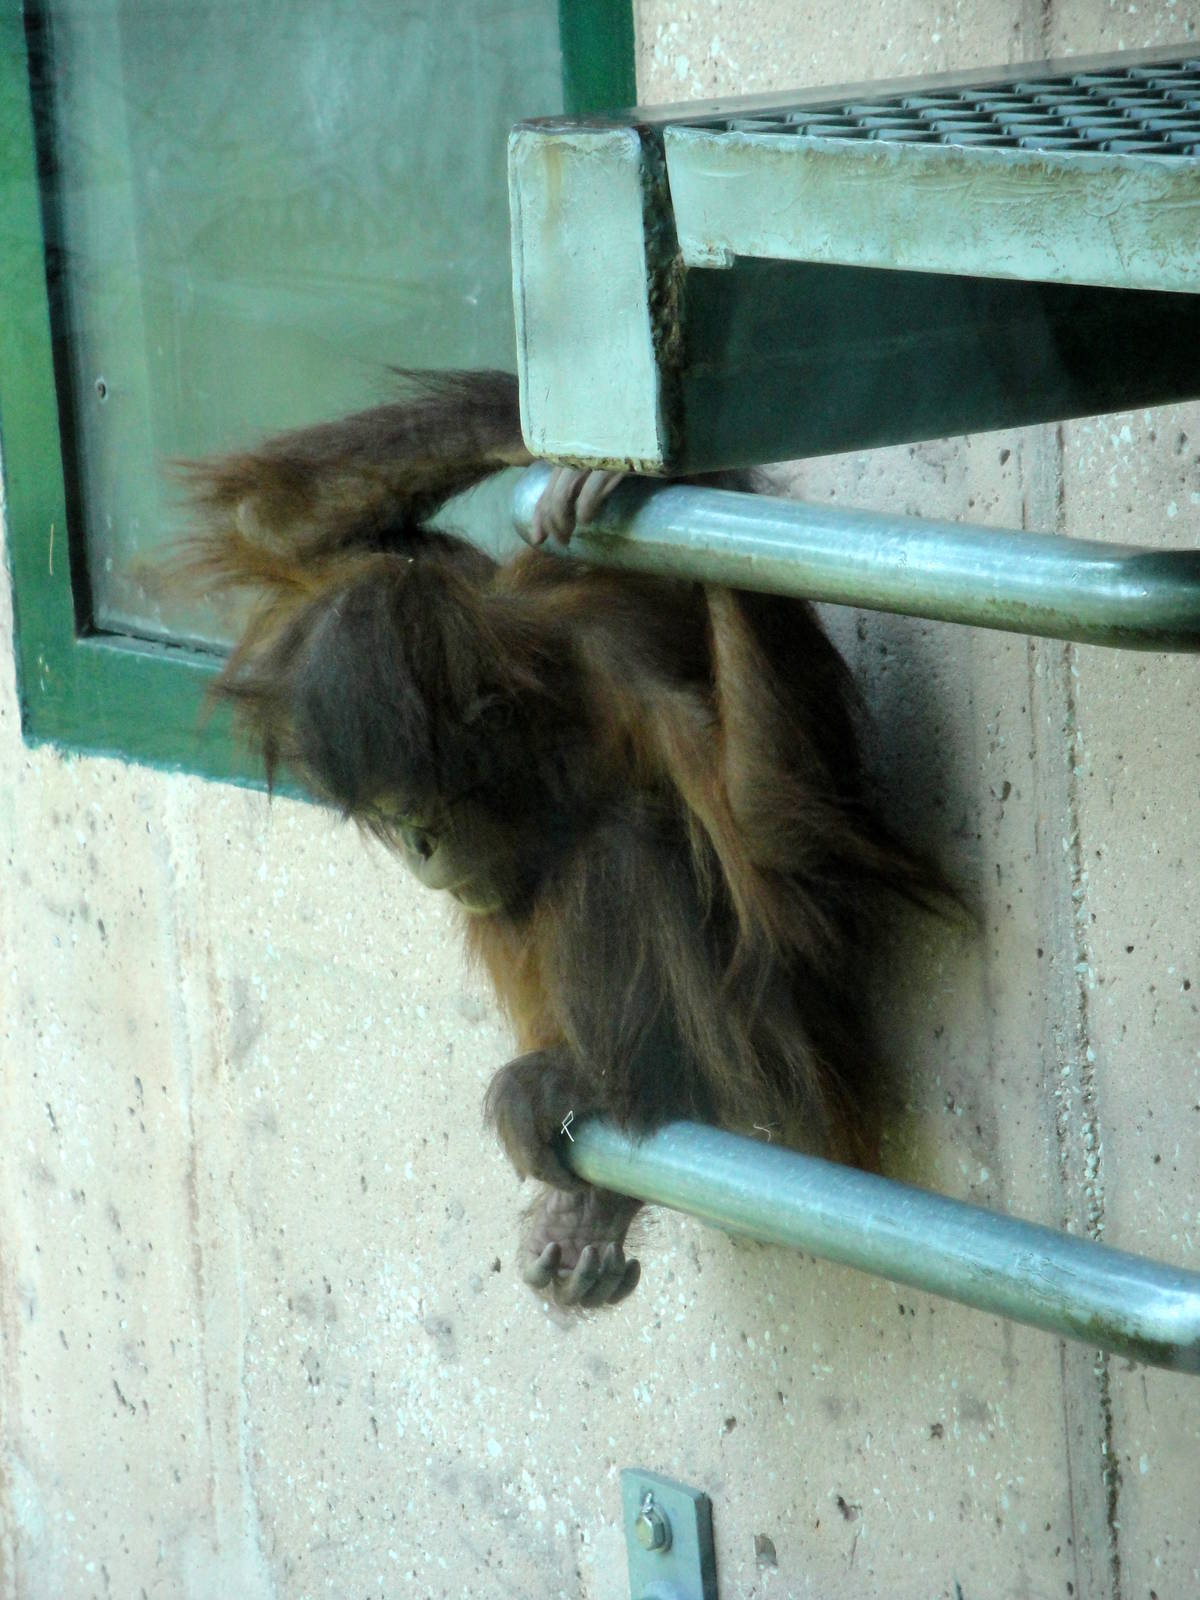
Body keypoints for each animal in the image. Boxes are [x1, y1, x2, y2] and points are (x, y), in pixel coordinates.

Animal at [175, 369, 944, 1310]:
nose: (421, 848)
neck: (552, 713)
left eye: (426, 810)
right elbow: (270, 520)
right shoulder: (448, 583)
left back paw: (596, 1100)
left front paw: (704, 487)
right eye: (394, 821)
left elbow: (795, 866)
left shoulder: (633, 672)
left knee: (621, 844)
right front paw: (541, 435)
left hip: (776, 1085)